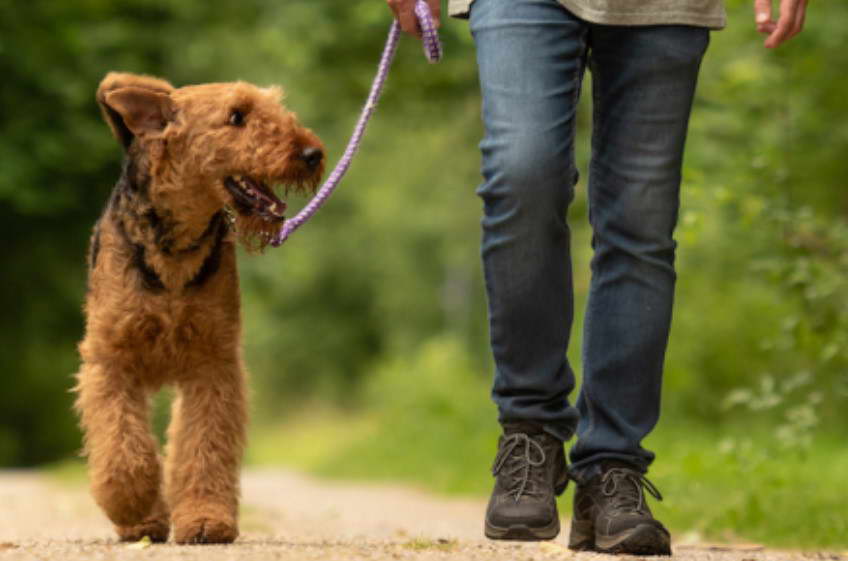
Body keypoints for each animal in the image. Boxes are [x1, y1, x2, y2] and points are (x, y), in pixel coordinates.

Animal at [73, 73, 322, 544]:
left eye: (275, 107)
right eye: (236, 116)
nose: (312, 153)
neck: (176, 249)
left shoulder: (213, 361)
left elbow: (204, 447)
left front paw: (206, 521)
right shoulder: (111, 359)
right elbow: (122, 447)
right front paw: (133, 503)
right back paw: (145, 518)